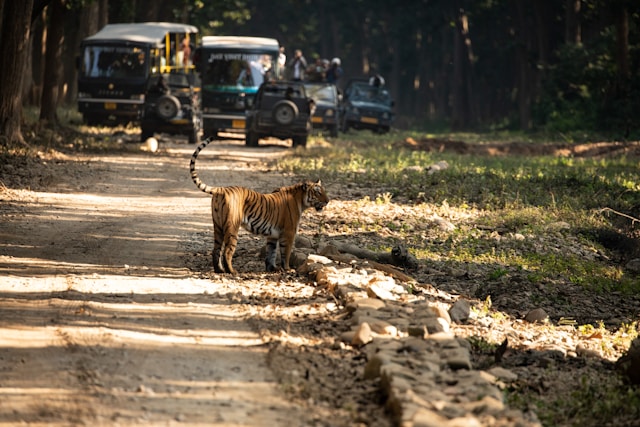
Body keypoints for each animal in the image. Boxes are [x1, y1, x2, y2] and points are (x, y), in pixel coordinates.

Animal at [189, 139, 330, 276]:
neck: (301, 200)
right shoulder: (288, 233)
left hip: (217, 225)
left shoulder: (273, 235)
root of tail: (221, 189)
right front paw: (287, 269)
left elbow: (271, 253)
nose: (328, 201)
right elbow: (286, 253)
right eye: (318, 192)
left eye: (324, 191)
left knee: (216, 250)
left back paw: (219, 270)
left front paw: (272, 268)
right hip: (232, 227)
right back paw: (232, 271)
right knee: (227, 251)